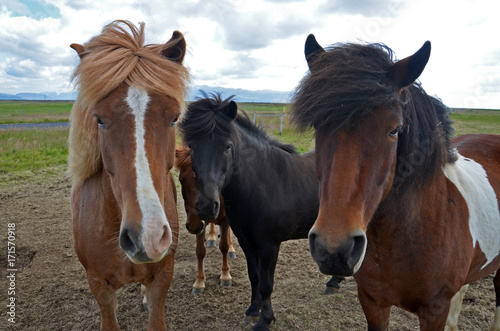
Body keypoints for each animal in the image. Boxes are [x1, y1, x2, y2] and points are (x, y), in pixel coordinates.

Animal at [174, 147, 236, 294]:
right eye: (181, 180)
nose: (193, 225)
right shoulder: (198, 224)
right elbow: (200, 251)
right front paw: (199, 282)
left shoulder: (224, 220)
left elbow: (224, 246)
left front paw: (225, 276)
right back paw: (212, 238)